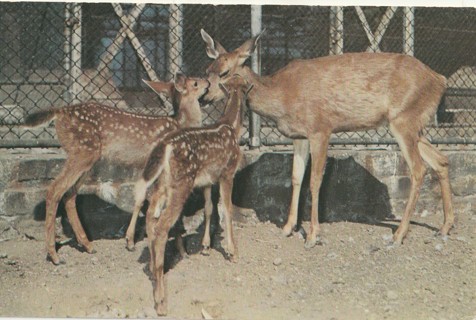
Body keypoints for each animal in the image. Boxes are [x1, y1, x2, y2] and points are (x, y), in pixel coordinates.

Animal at [22, 73, 208, 264]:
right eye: (195, 82)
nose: (208, 83)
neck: (181, 124)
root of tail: (60, 112)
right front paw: (179, 250)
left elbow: (141, 199)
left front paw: (131, 241)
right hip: (82, 152)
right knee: (54, 190)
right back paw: (54, 255)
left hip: (88, 159)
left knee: (69, 194)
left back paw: (87, 245)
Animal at [128, 75, 251, 318]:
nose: (207, 84)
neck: (231, 127)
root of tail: (164, 146)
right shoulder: (227, 173)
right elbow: (227, 209)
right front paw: (233, 252)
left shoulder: (207, 180)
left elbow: (210, 208)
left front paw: (206, 247)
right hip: (181, 183)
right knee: (162, 225)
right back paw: (161, 302)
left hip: (163, 184)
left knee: (151, 217)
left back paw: (155, 275)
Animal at [200, 29, 454, 248]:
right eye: (208, 69)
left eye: (224, 72)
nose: (203, 98)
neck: (282, 95)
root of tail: (440, 80)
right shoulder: (299, 136)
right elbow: (296, 178)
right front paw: (288, 228)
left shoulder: (321, 129)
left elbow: (315, 181)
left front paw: (313, 235)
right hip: (414, 125)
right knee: (441, 160)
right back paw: (444, 227)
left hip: (404, 119)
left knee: (418, 168)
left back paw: (399, 234)